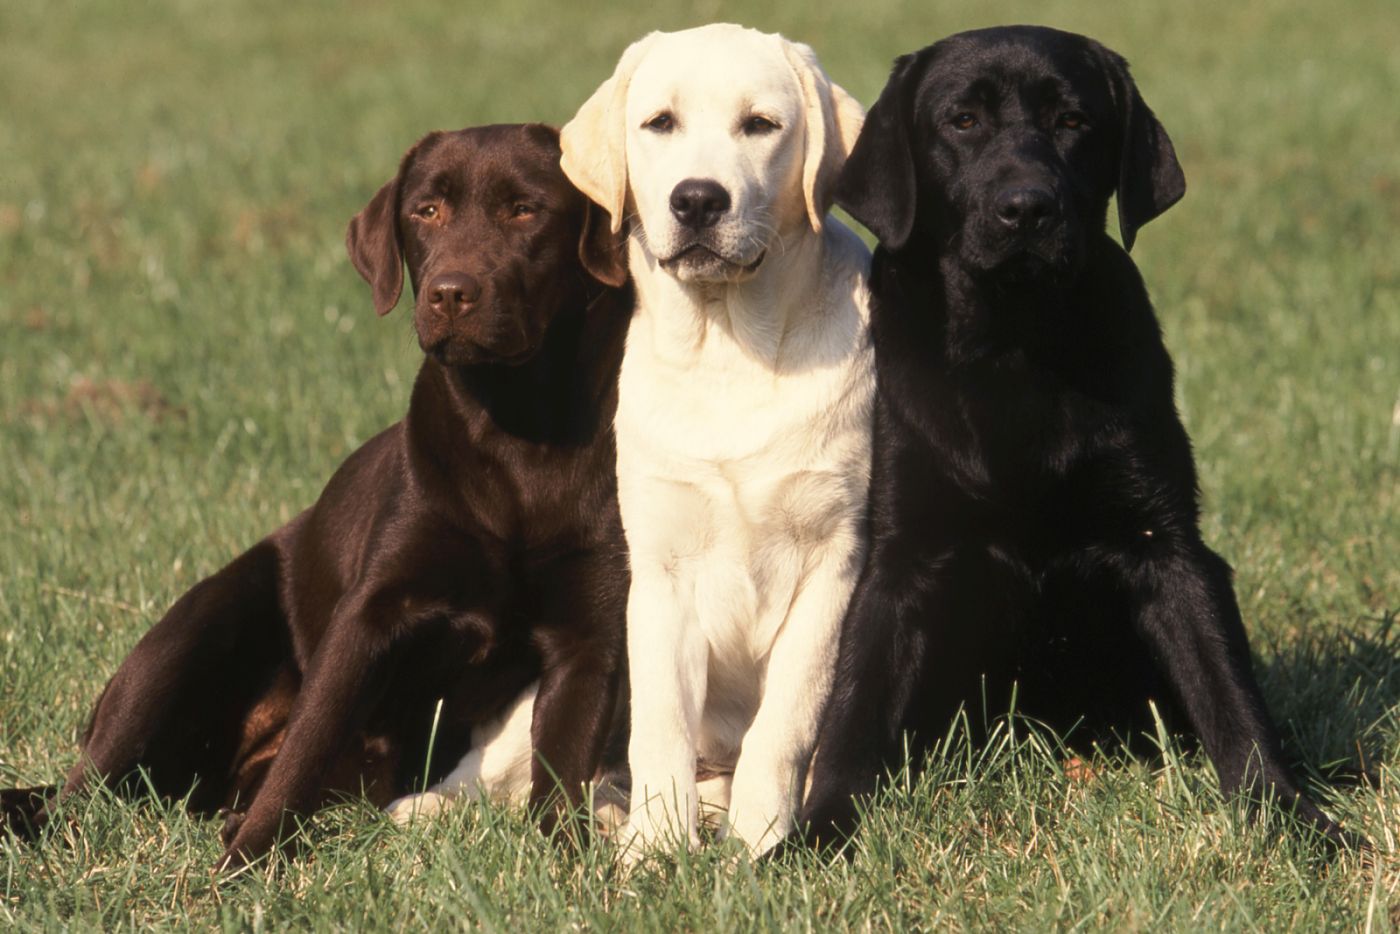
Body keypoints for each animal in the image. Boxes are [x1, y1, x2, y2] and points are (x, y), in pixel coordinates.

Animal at [1, 122, 635, 868]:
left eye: (524, 211)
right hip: (188, 637)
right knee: (83, 793)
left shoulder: (587, 641)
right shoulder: (369, 616)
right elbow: (305, 747)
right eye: (426, 212)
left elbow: (561, 774)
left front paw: (560, 867)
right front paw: (241, 868)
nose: (450, 293)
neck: (514, 436)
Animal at [560, 21, 868, 856]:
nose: (698, 199)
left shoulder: (834, 562)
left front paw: (759, 841)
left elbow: (784, 722)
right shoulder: (662, 571)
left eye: (760, 125)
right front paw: (654, 849)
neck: (729, 347)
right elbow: (662, 723)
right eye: (659, 122)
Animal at [800, 27, 1355, 845]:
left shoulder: (1166, 543)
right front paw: (810, 836)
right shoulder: (904, 554)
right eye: (962, 121)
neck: (1017, 343)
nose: (1026, 208)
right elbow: (852, 709)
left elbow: (1230, 699)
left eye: (1073, 122)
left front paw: (1289, 815)